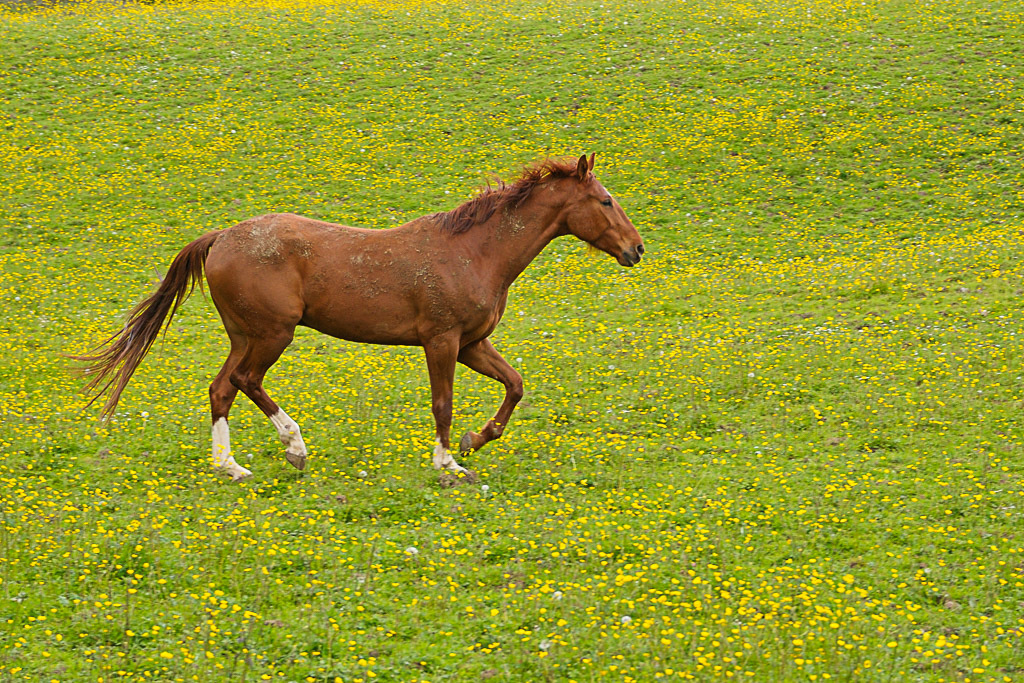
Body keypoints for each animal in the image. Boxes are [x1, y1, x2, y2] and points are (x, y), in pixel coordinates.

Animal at [77, 154, 638, 481]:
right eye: (606, 200)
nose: (636, 249)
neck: (474, 252)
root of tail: (221, 237)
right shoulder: (442, 341)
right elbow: (442, 404)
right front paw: (449, 464)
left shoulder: (473, 344)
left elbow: (515, 385)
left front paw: (474, 441)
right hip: (273, 333)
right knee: (244, 381)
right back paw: (295, 447)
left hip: (244, 334)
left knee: (221, 389)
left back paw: (231, 466)